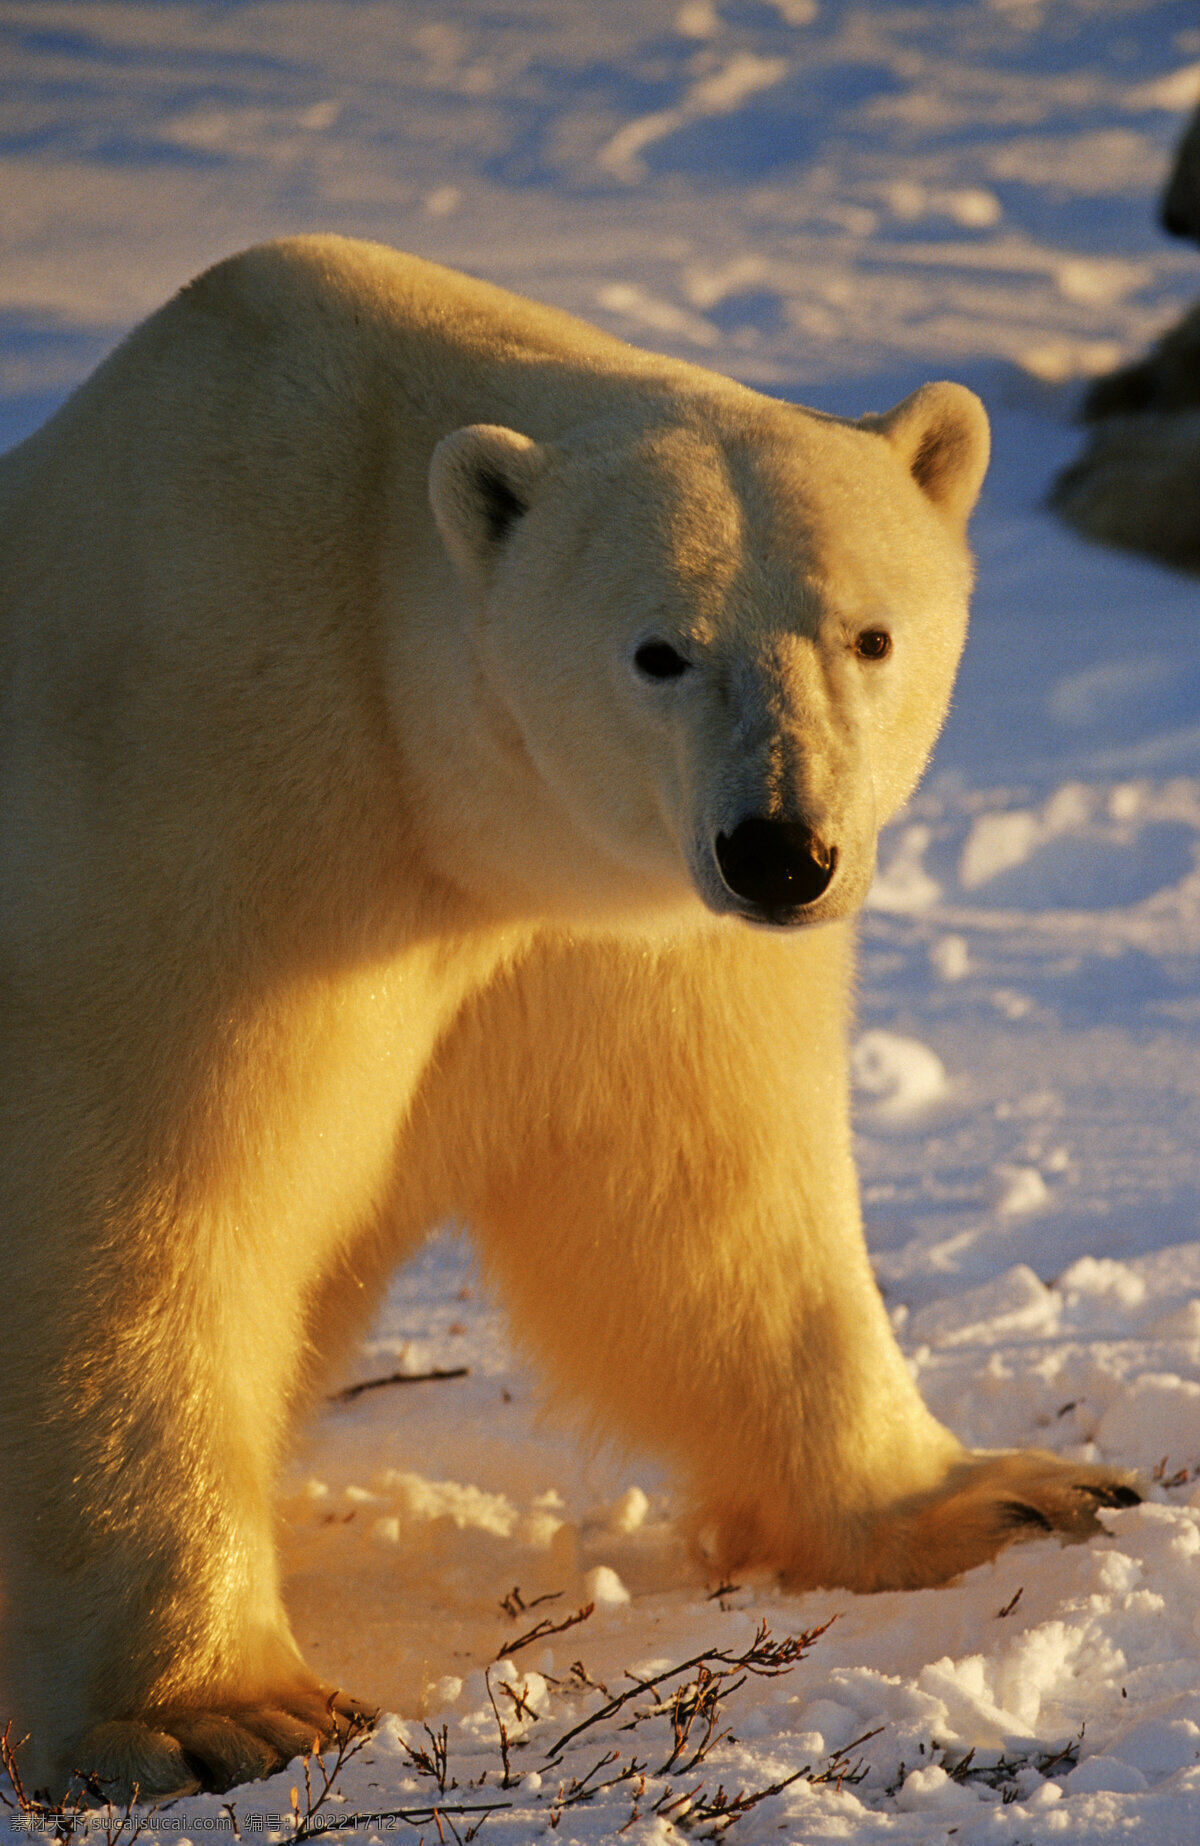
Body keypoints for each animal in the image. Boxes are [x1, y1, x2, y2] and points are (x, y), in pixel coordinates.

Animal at [0, 234, 1129, 1801]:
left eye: (870, 633)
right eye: (659, 650)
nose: (781, 851)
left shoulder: (611, 932)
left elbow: (703, 1203)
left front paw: (1008, 1492)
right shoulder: (192, 813)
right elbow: (139, 1211)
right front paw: (219, 1711)